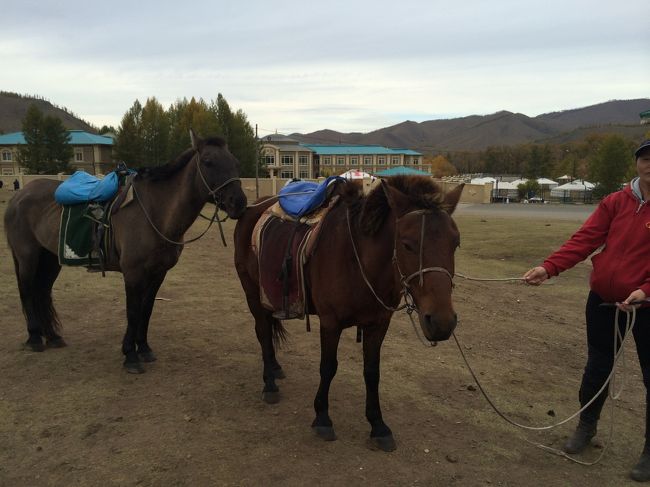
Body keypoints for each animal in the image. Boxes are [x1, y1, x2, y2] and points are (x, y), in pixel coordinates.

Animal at [5, 130, 246, 374]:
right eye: (208, 161)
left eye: (236, 163)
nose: (239, 202)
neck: (155, 212)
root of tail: (19, 195)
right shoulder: (133, 274)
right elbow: (133, 312)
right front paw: (130, 355)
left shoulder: (158, 273)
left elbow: (146, 310)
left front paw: (144, 349)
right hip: (28, 257)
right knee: (27, 291)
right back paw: (35, 338)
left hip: (50, 259)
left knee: (42, 291)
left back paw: (53, 337)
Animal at [235, 177, 464, 452]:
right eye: (407, 244)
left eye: (455, 243)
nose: (442, 322)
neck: (360, 262)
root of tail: (255, 206)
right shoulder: (330, 323)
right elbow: (328, 367)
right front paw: (322, 417)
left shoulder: (378, 325)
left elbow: (372, 372)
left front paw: (378, 425)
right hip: (252, 293)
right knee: (262, 333)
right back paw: (269, 384)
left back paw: (276, 368)